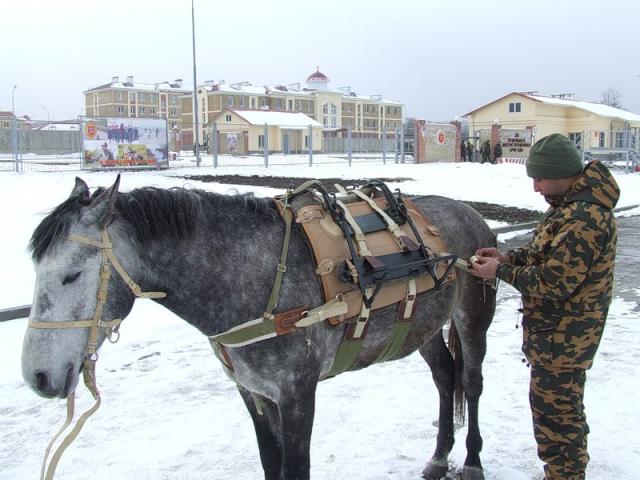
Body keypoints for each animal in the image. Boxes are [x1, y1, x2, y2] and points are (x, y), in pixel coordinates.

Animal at [22, 177, 496, 480]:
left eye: (71, 275)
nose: (38, 376)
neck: (257, 279)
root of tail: (470, 214)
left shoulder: (297, 394)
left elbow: (296, 468)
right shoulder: (253, 392)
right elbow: (271, 462)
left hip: (473, 315)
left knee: (471, 382)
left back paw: (471, 461)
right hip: (423, 325)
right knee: (444, 376)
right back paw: (439, 457)